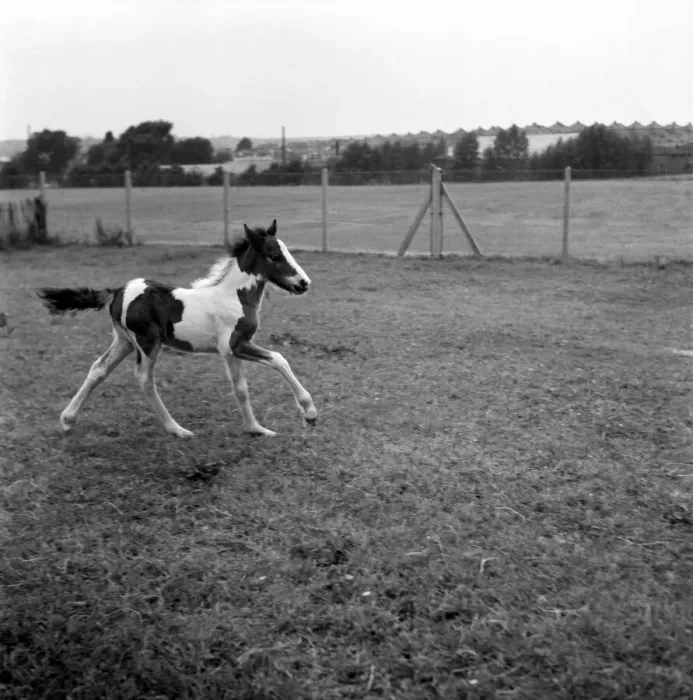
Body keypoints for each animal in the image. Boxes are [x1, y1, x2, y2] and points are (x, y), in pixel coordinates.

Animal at [37, 219, 317, 438]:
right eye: (274, 255)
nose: (304, 283)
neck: (233, 296)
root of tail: (117, 291)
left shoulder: (230, 351)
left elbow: (240, 389)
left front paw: (256, 428)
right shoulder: (236, 344)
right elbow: (279, 359)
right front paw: (309, 412)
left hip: (124, 341)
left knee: (98, 369)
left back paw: (67, 419)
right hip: (147, 342)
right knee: (144, 379)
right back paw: (177, 429)